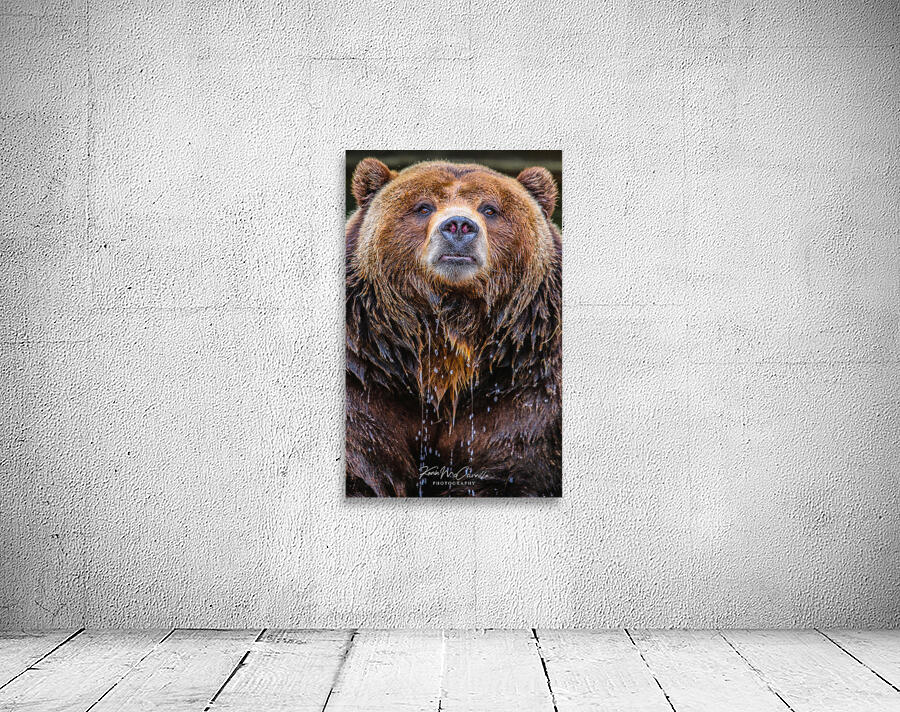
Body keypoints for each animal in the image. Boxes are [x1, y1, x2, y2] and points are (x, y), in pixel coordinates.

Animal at [345, 158, 561, 497]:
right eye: (423, 207)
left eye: (490, 209)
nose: (459, 226)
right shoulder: (366, 377)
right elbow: (363, 461)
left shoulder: (527, 386)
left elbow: (512, 465)